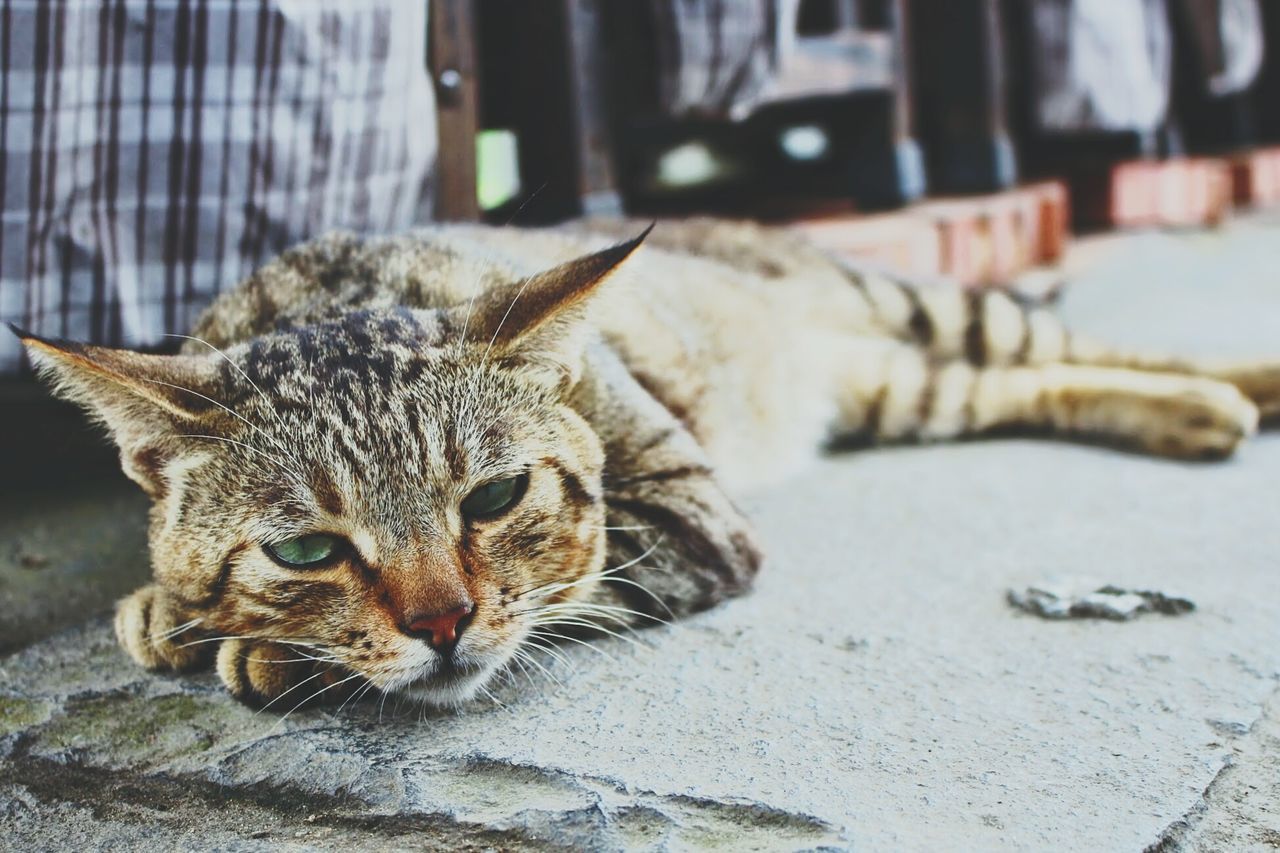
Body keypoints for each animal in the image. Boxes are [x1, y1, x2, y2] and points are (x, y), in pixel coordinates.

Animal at [12, 216, 1280, 706]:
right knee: (1027, 381)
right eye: (307, 548)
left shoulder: (687, 511)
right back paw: (1199, 413)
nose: (440, 624)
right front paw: (171, 610)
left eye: (496, 494)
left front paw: (264, 652)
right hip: (904, 390)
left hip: (927, 307)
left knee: (1085, 339)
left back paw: (1237, 384)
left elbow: (579, 574)